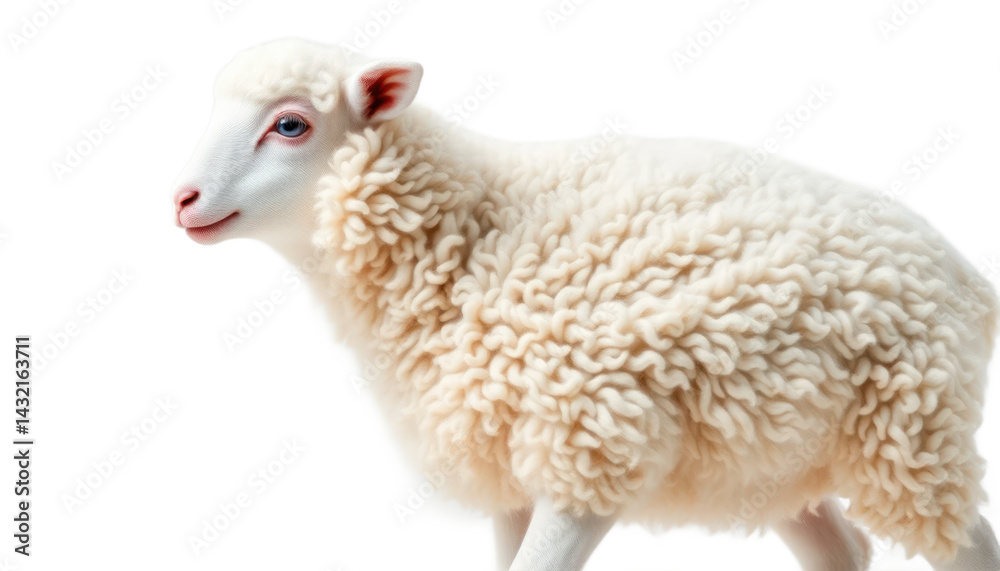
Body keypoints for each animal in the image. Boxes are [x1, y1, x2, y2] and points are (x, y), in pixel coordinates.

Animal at [172, 38, 1000, 570]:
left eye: (290, 124)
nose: (182, 200)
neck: (470, 234)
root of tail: (970, 277)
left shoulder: (590, 446)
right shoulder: (505, 465)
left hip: (910, 435)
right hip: (784, 459)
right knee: (845, 552)